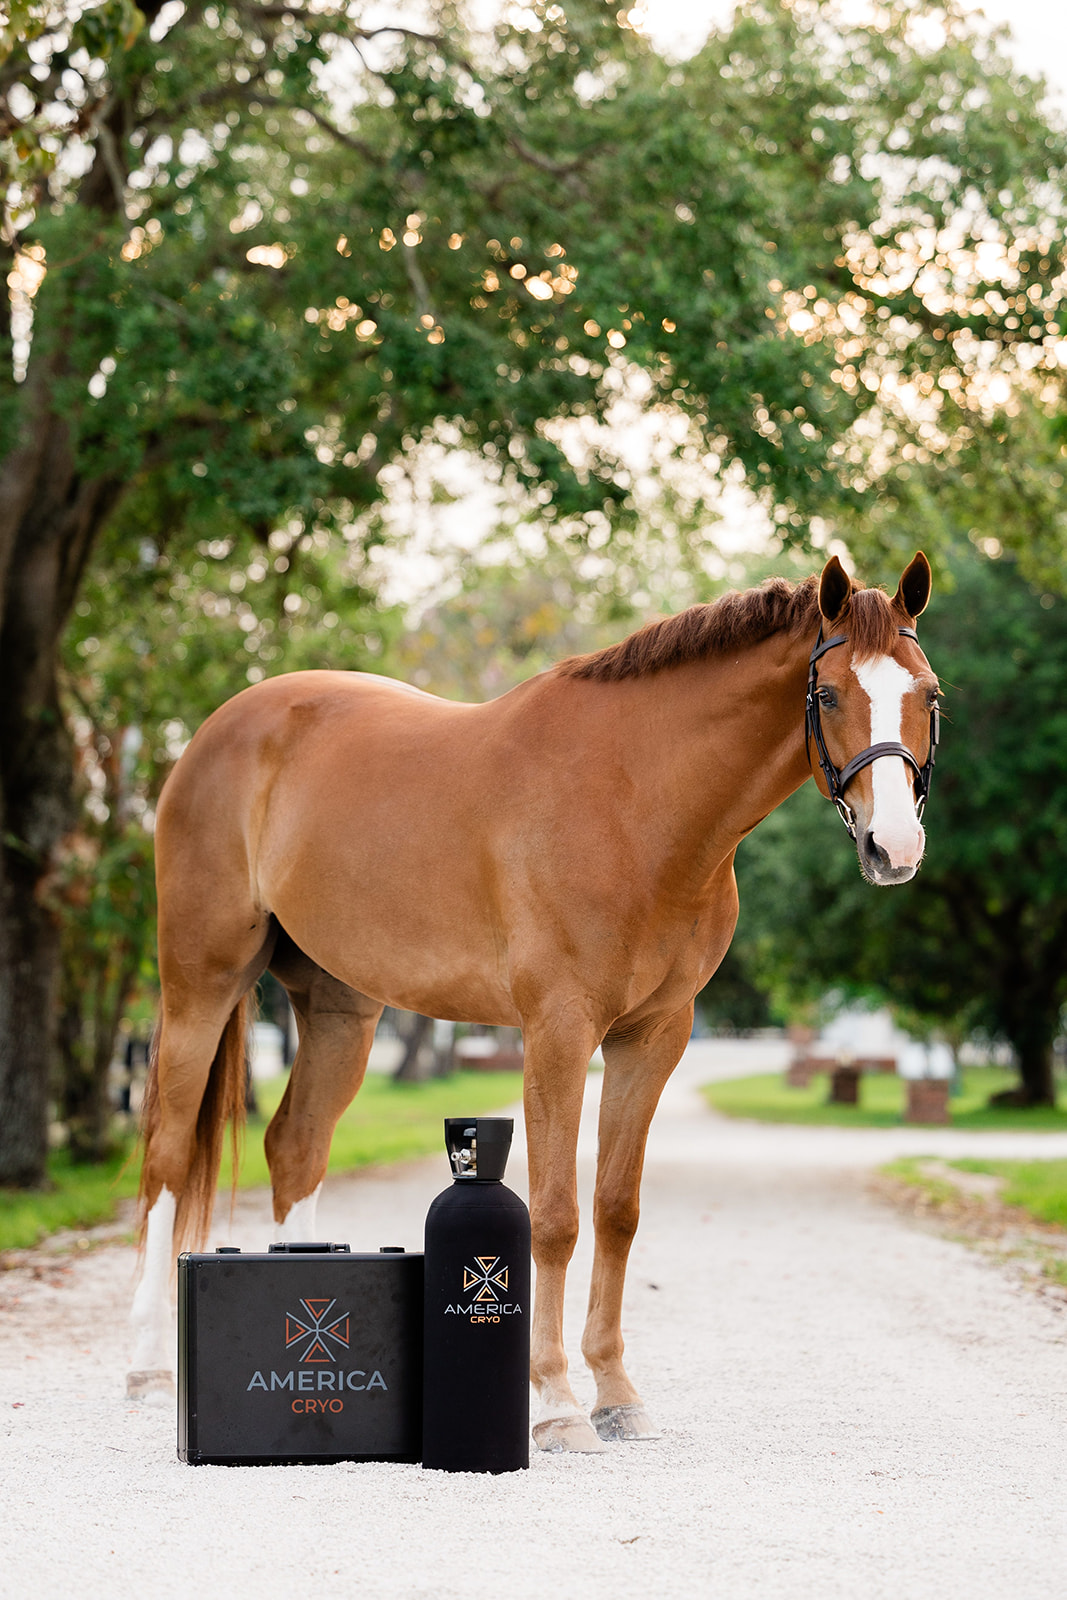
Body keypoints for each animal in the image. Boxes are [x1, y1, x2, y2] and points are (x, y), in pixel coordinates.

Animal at [130, 551, 939, 1452]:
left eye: (929, 695)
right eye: (827, 694)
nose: (893, 847)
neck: (633, 800)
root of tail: (215, 733)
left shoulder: (653, 1038)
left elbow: (615, 1210)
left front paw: (617, 1394)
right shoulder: (557, 1030)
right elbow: (554, 1217)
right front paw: (554, 1402)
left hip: (341, 1009)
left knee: (296, 1146)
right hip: (202, 982)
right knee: (167, 1157)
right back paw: (147, 1369)